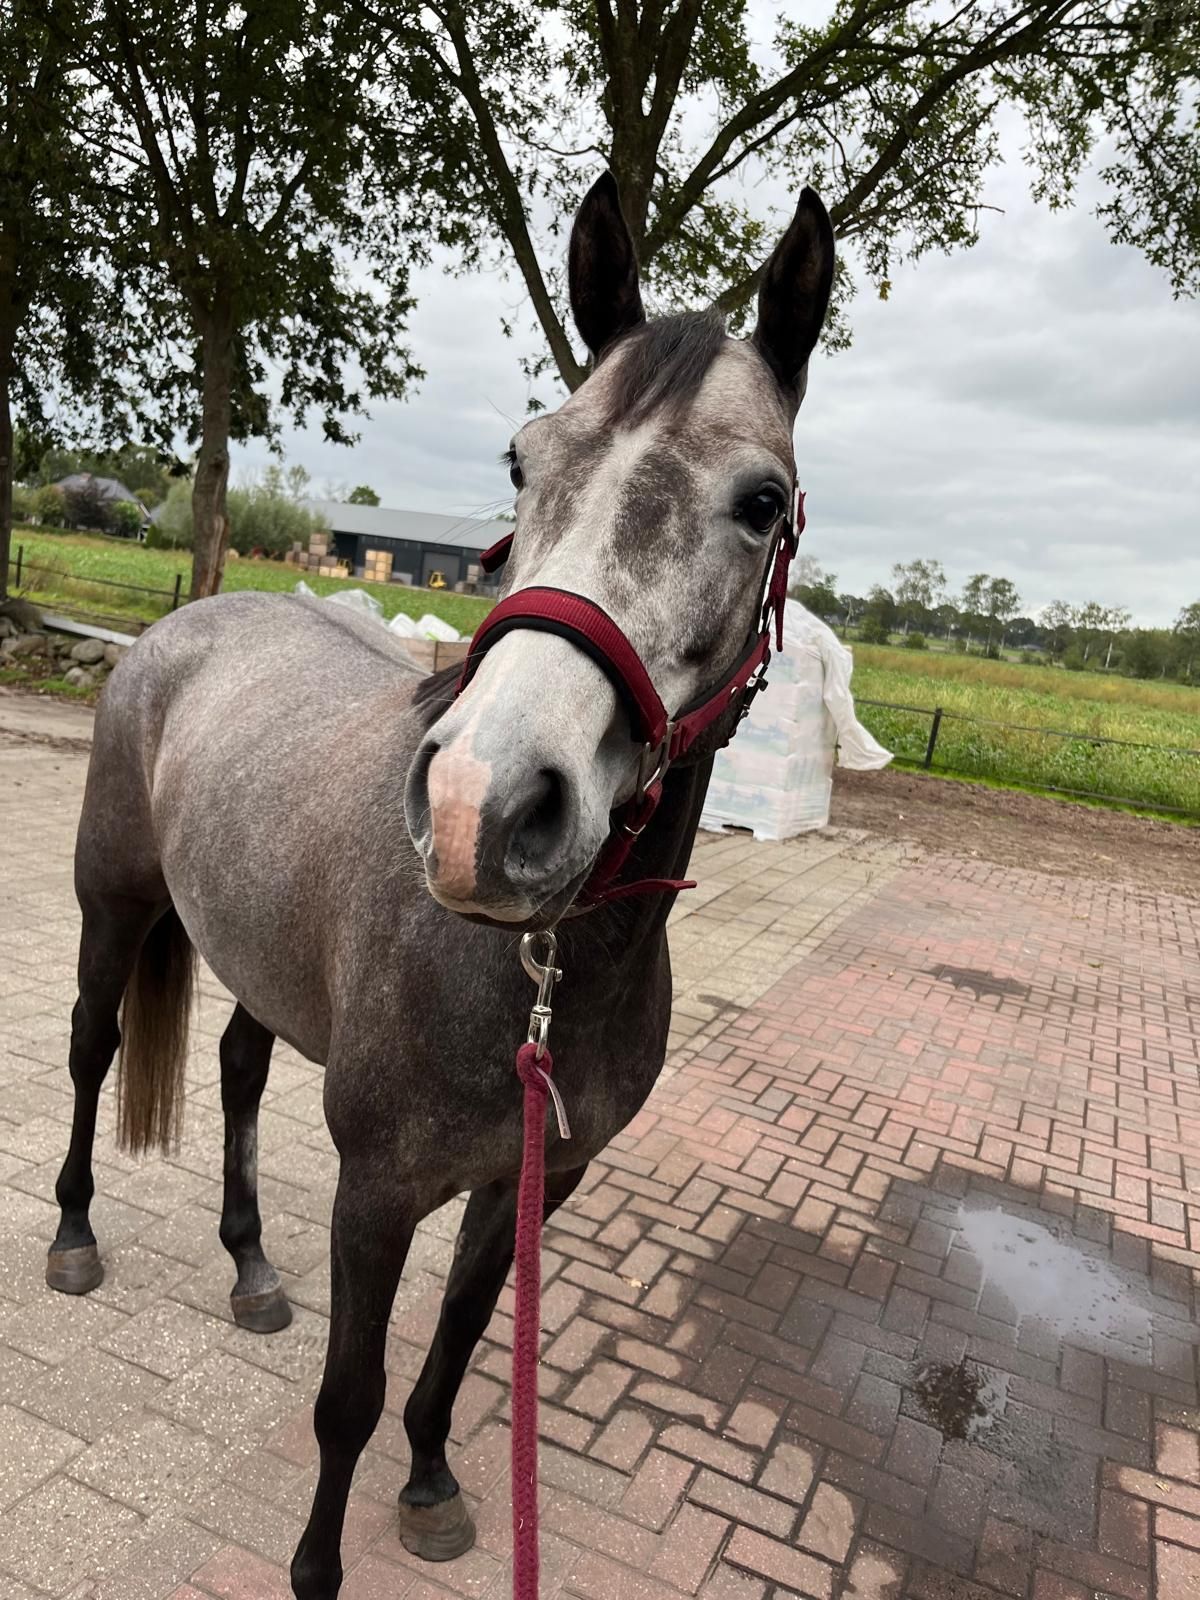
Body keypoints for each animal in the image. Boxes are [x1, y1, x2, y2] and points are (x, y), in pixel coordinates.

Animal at [44, 172, 835, 1597]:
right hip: (112, 911)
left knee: (237, 1070)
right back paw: (72, 1237)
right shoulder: (379, 1194)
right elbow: (344, 1399)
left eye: (761, 500)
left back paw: (250, 1264)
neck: (534, 975)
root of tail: (182, 624)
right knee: (91, 1048)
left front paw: (427, 1483)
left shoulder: (532, 1179)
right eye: (524, 460)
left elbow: (461, 1341)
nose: (483, 804)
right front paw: (317, 1566)